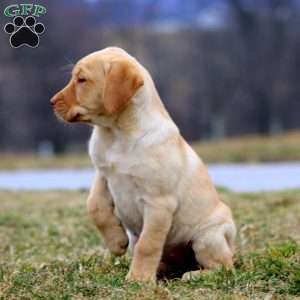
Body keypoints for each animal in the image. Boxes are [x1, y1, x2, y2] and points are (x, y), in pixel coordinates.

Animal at [51, 47, 234, 282]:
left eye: (82, 80)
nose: (51, 102)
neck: (117, 133)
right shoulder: (104, 175)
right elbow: (94, 206)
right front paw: (117, 242)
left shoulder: (158, 204)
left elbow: (148, 245)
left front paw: (138, 279)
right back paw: (161, 270)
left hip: (208, 237)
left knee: (224, 266)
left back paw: (193, 275)